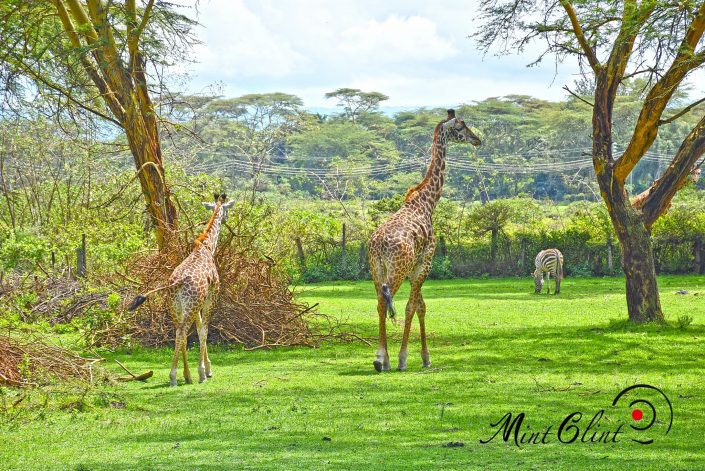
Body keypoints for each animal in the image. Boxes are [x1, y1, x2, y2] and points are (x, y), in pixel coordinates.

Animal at [127, 194, 234, 386]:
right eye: (227, 209)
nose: (226, 219)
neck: (207, 246)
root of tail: (176, 283)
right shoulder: (211, 295)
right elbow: (203, 330)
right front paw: (204, 372)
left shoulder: (198, 302)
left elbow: (198, 330)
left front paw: (204, 370)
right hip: (190, 305)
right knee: (183, 332)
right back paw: (176, 376)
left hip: (176, 307)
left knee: (179, 333)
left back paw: (186, 375)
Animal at [366, 110, 482, 372]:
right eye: (461, 126)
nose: (477, 140)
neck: (428, 203)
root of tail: (378, 246)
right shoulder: (425, 262)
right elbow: (412, 307)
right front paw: (404, 358)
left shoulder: (414, 269)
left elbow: (420, 305)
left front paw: (425, 357)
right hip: (396, 270)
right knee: (387, 302)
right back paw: (383, 359)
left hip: (376, 270)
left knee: (379, 303)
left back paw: (382, 359)